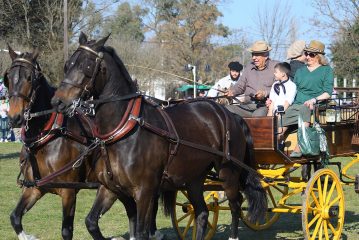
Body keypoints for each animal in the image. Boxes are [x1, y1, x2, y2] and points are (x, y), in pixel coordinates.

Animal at [4, 47, 160, 240]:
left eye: (30, 78)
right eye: (8, 78)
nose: (14, 117)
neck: (47, 138)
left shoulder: (68, 192)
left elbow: (66, 231)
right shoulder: (35, 189)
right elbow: (15, 217)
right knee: (132, 210)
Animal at [52, 32, 268, 240]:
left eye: (87, 65)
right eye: (67, 64)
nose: (58, 101)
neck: (124, 130)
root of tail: (230, 115)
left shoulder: (144, 191)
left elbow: (141, 232)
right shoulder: (110, 188)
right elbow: (91, 222)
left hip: (228, 173)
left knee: (235, 205)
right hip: (194, 179)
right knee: (202, 213)